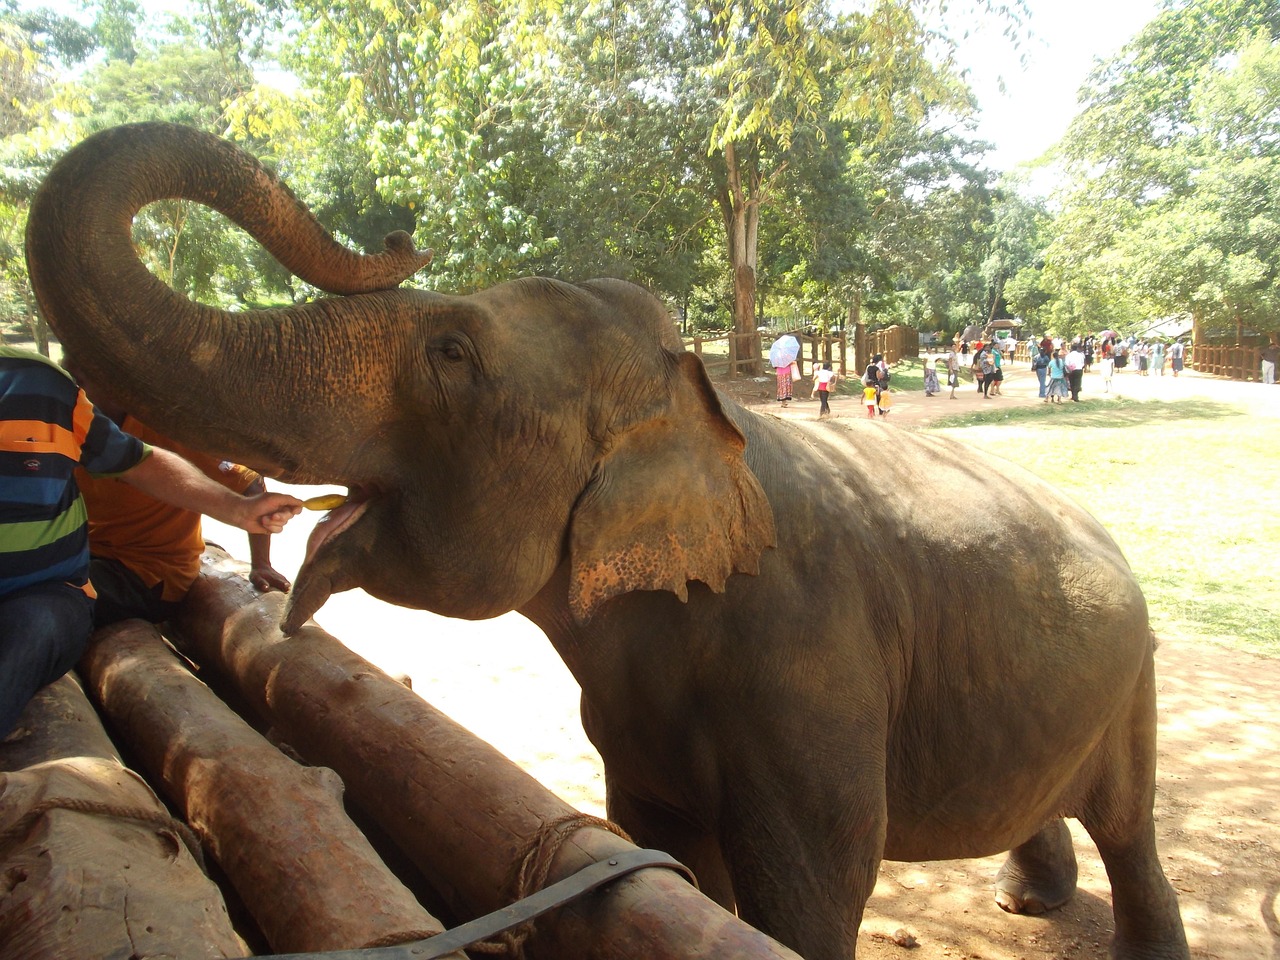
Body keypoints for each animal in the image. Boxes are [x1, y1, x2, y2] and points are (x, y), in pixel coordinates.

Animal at [24, 122, 1187, 960]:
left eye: (451, 353)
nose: (400, 237)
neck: (697, 407)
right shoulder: (632, 724)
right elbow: (663, 847)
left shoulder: (815, 671)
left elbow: (811, 891)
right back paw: (1026, 899)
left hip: (1134, 678)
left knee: (1130, 825)